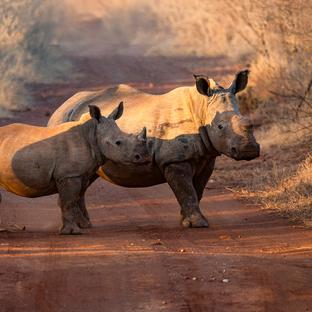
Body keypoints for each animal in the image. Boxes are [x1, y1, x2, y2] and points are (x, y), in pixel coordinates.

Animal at [0, 102, 149, 234]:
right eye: (118, 143)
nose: (143, 157)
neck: (92, 134)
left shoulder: (80, 174)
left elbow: (76, 198)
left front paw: (82, 226)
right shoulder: (69, 175)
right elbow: (69, 201)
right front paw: (72, 232)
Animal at [48, 70, 258, 227]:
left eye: (248, 121)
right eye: (220, 127)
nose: (249, 150)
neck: (201, 109)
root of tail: (62, 106)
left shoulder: (207, 158)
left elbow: (197, 191)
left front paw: (186, 221)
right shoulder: (175, 160)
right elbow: (186, 190)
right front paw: (197, 224)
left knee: (84, 178)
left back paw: (85, 225)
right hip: (62, 123)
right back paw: (80, 225)